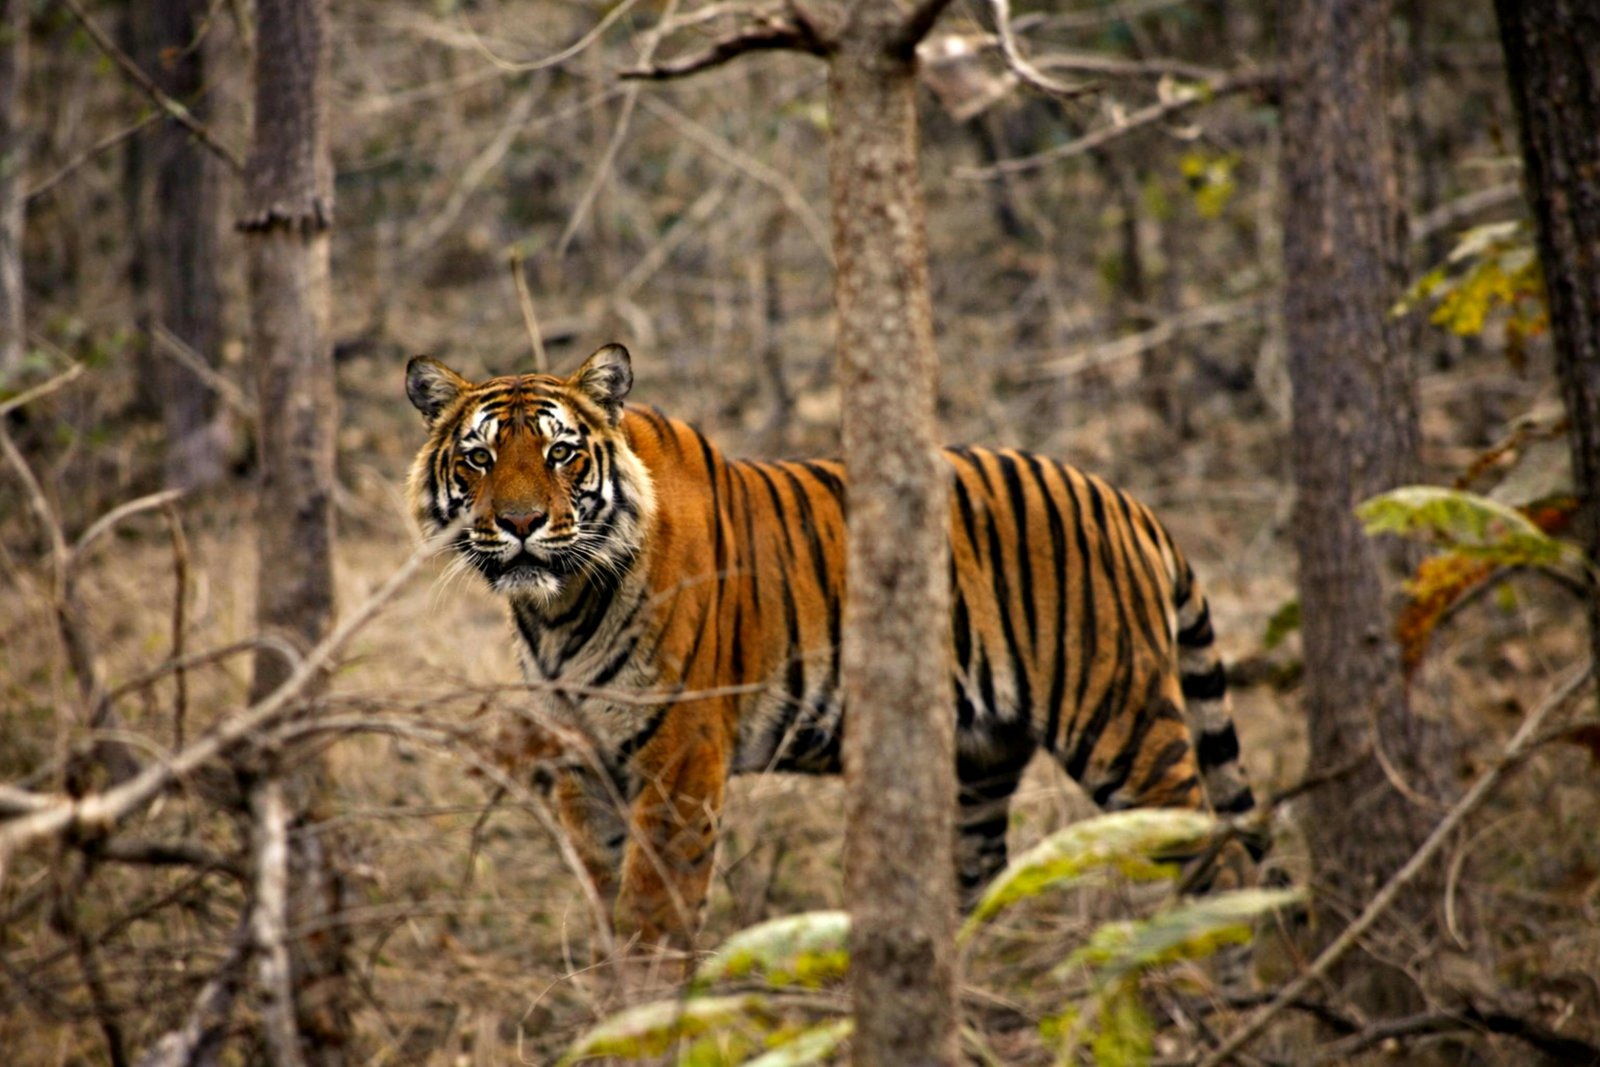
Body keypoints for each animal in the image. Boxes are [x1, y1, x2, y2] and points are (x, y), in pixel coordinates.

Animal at [406, 343, 1264, 948]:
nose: (520, 523)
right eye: (480, 456)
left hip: (1120, 724)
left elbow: (654, 914)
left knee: (1218, 852)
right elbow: (605, 901)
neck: (557, 607)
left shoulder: (681, 755)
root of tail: (1127, 501)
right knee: (977, 877)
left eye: (562, 452)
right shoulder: (582, 760)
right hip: (982, 756)